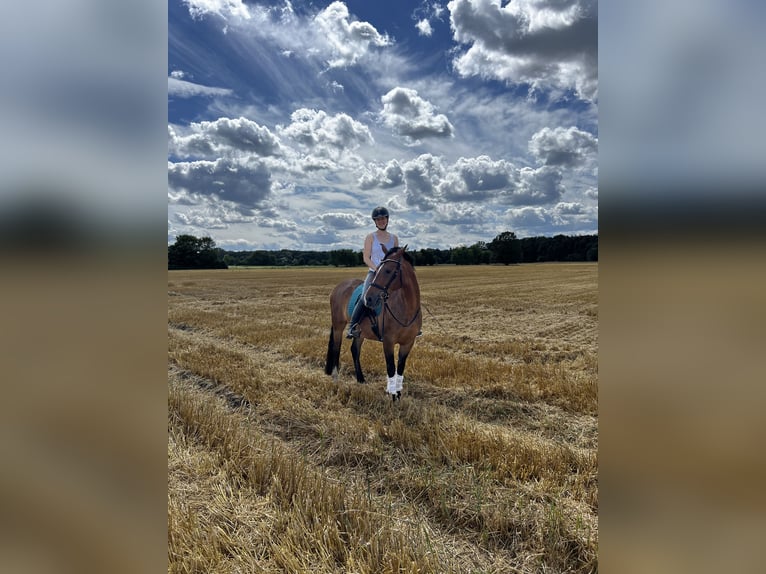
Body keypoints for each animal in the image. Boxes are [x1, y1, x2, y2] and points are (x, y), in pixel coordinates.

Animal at [322, 245, 424, 402]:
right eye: (377, 269)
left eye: (388, 270)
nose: (369, 298)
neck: (406, 309)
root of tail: (340, 286)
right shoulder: (388, 341)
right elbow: (391, 367)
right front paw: (392, 395)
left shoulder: (408, 343)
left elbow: (400, 368)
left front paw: (398, 394)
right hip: (339, 326)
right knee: (336, 348)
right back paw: (335, 378)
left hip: (360, 333)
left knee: (354, 350)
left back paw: (360, 379)